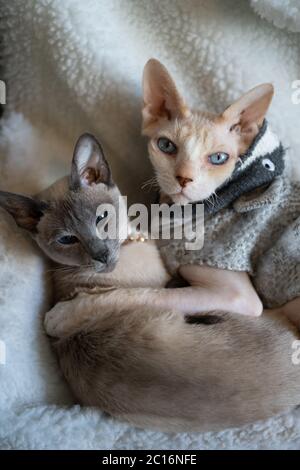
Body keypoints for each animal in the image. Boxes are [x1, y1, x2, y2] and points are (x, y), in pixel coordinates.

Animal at [0, 133, 300, 434]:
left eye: (101, 218)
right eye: (66, 239)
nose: (101, 256)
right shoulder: (227, 295)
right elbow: (135, 294)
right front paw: (58, 318)